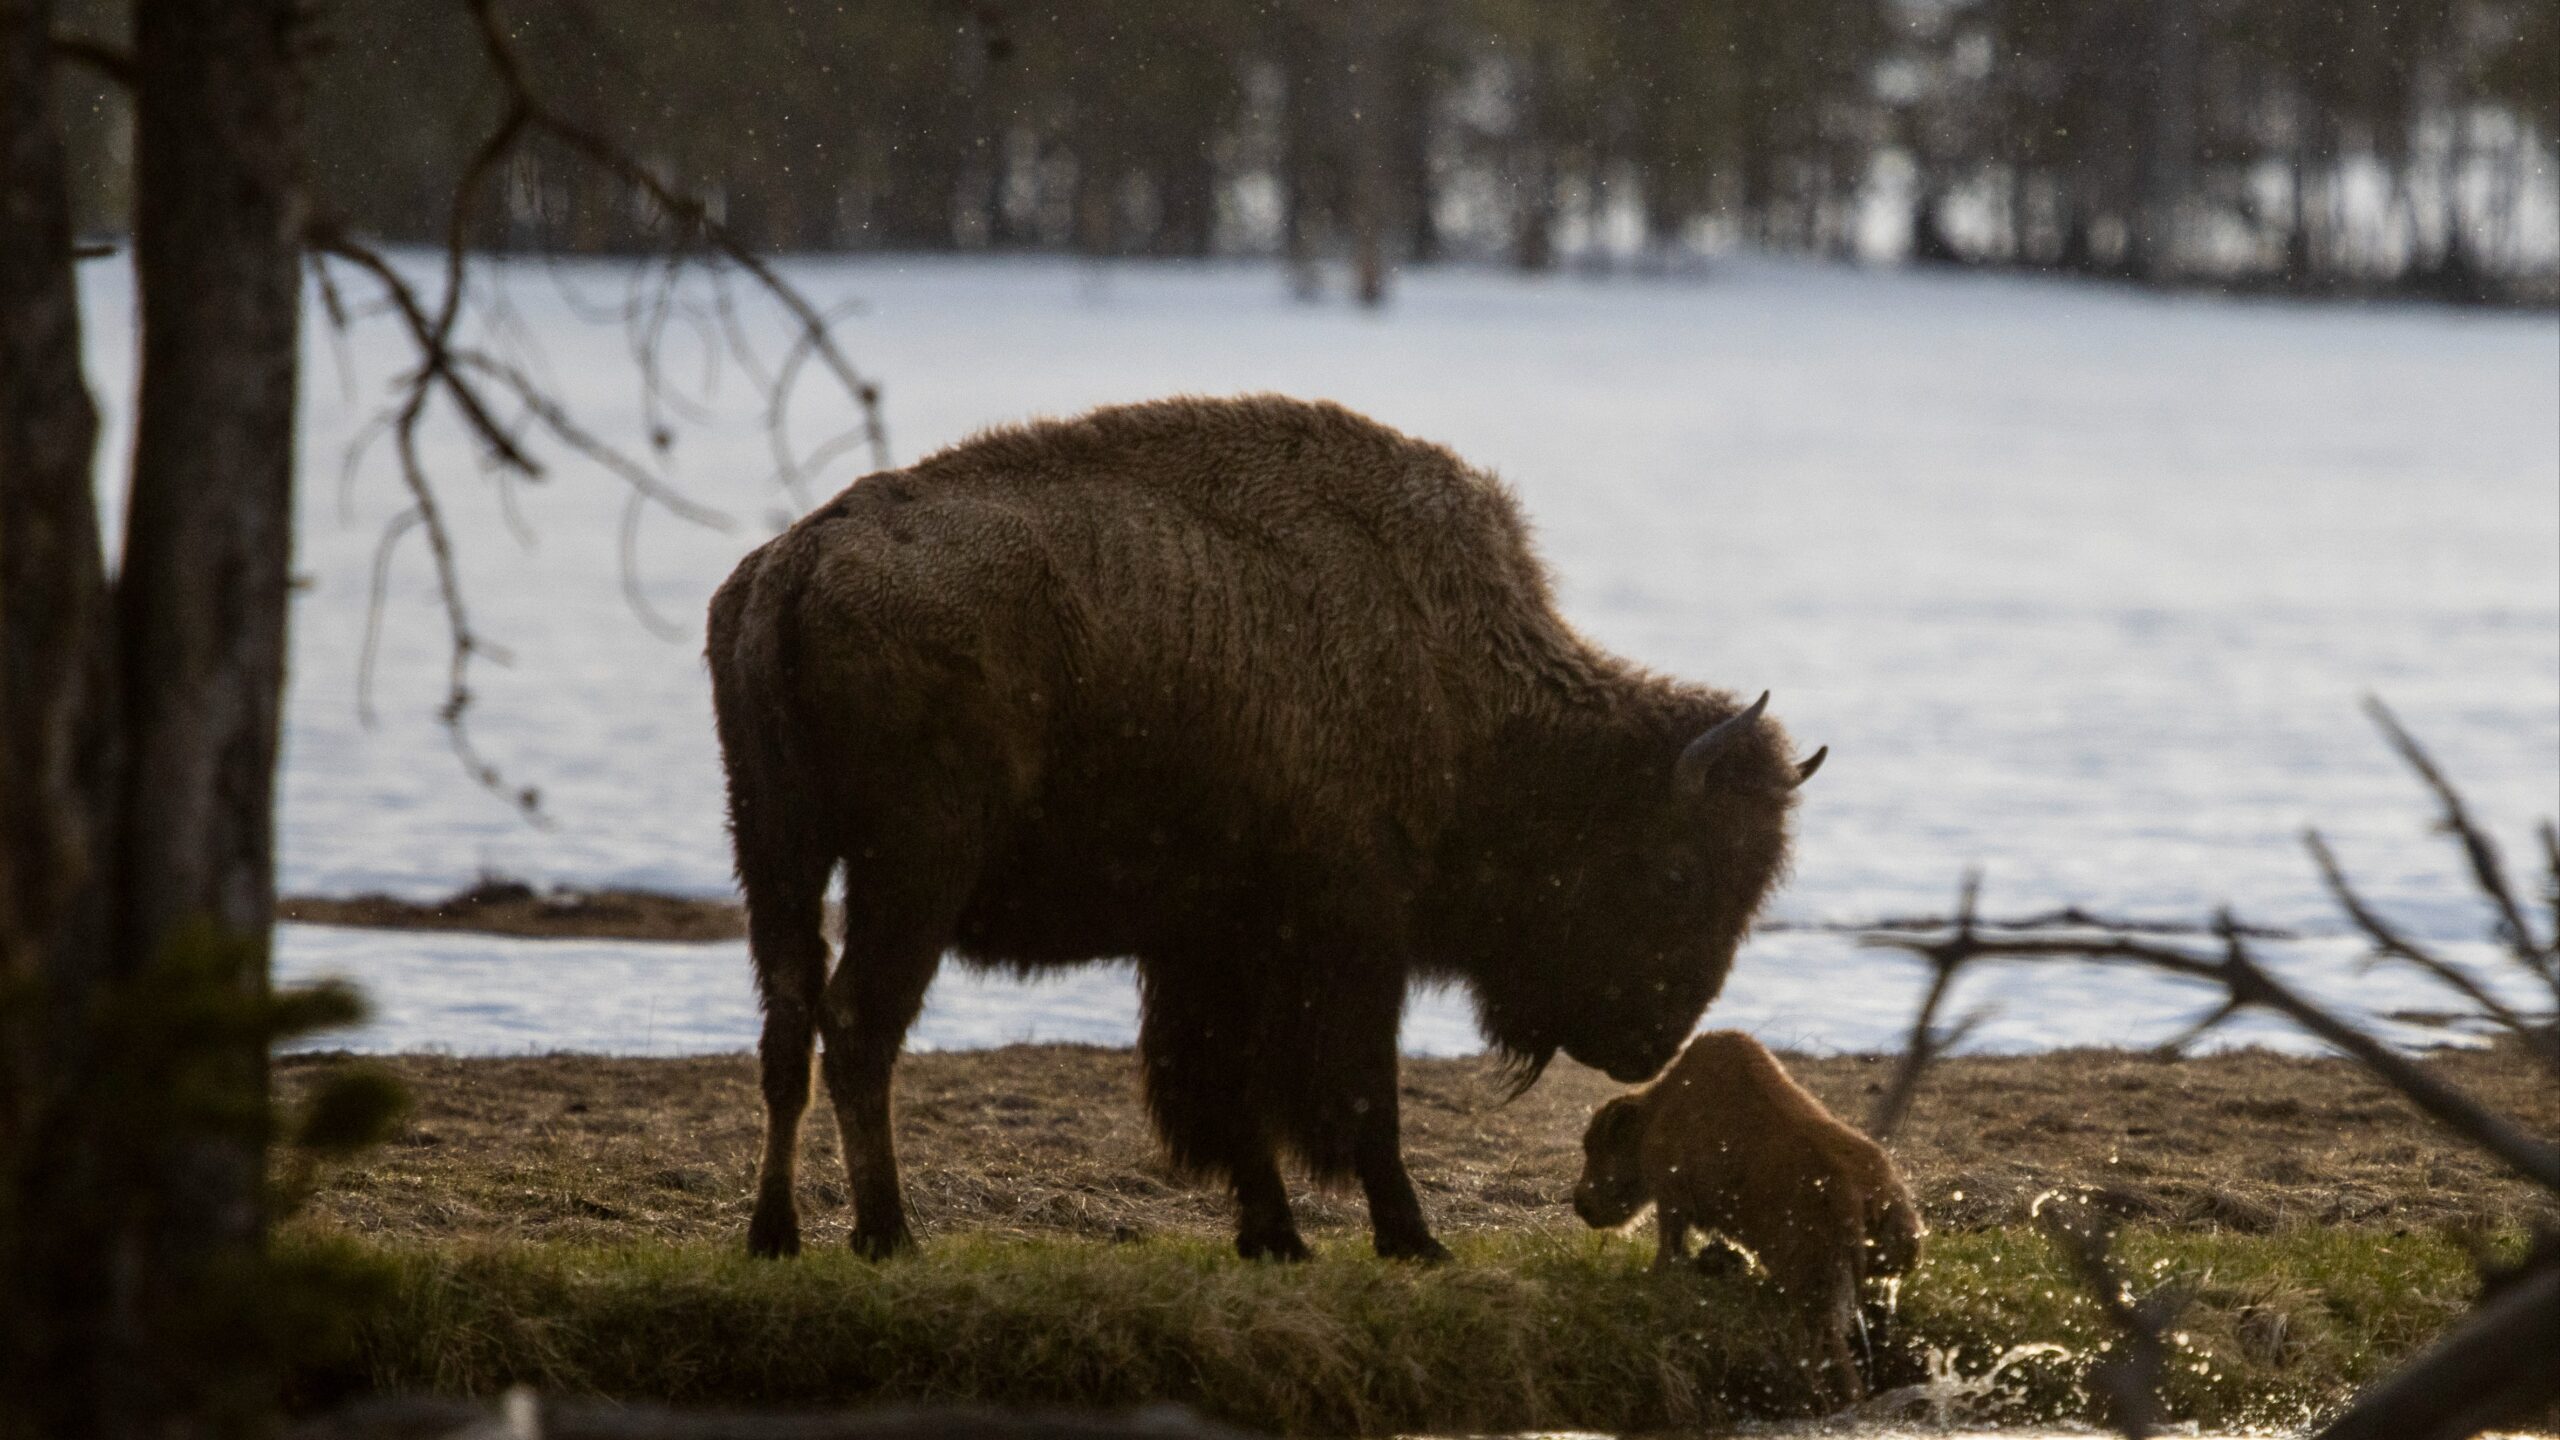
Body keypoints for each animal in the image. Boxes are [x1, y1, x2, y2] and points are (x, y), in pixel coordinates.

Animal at [701, 392, 1822, 1255]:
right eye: (1678, 872)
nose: (1652, 1041)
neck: (1451, 678)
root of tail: (796, 563)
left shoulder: (1212, 944)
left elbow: (1226, 1093)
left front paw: (1274, 1236)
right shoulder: (1349, 934)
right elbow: (1356, 1097)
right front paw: (1411, 1240)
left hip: (773, 852)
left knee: (787, 1028)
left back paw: (775, 1234)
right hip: (911, 869)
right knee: (858, 1026)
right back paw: (887, 1235)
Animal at [1576, 1030, 1925, 1404]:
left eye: (1596, 1146)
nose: (1581, 1204)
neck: (1658, 1111)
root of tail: (1853, 1199)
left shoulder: (1671, 1197)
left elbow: (1669, 1247)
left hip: (1815, 1280)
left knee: (1831, 1351)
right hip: (1896, 1250)